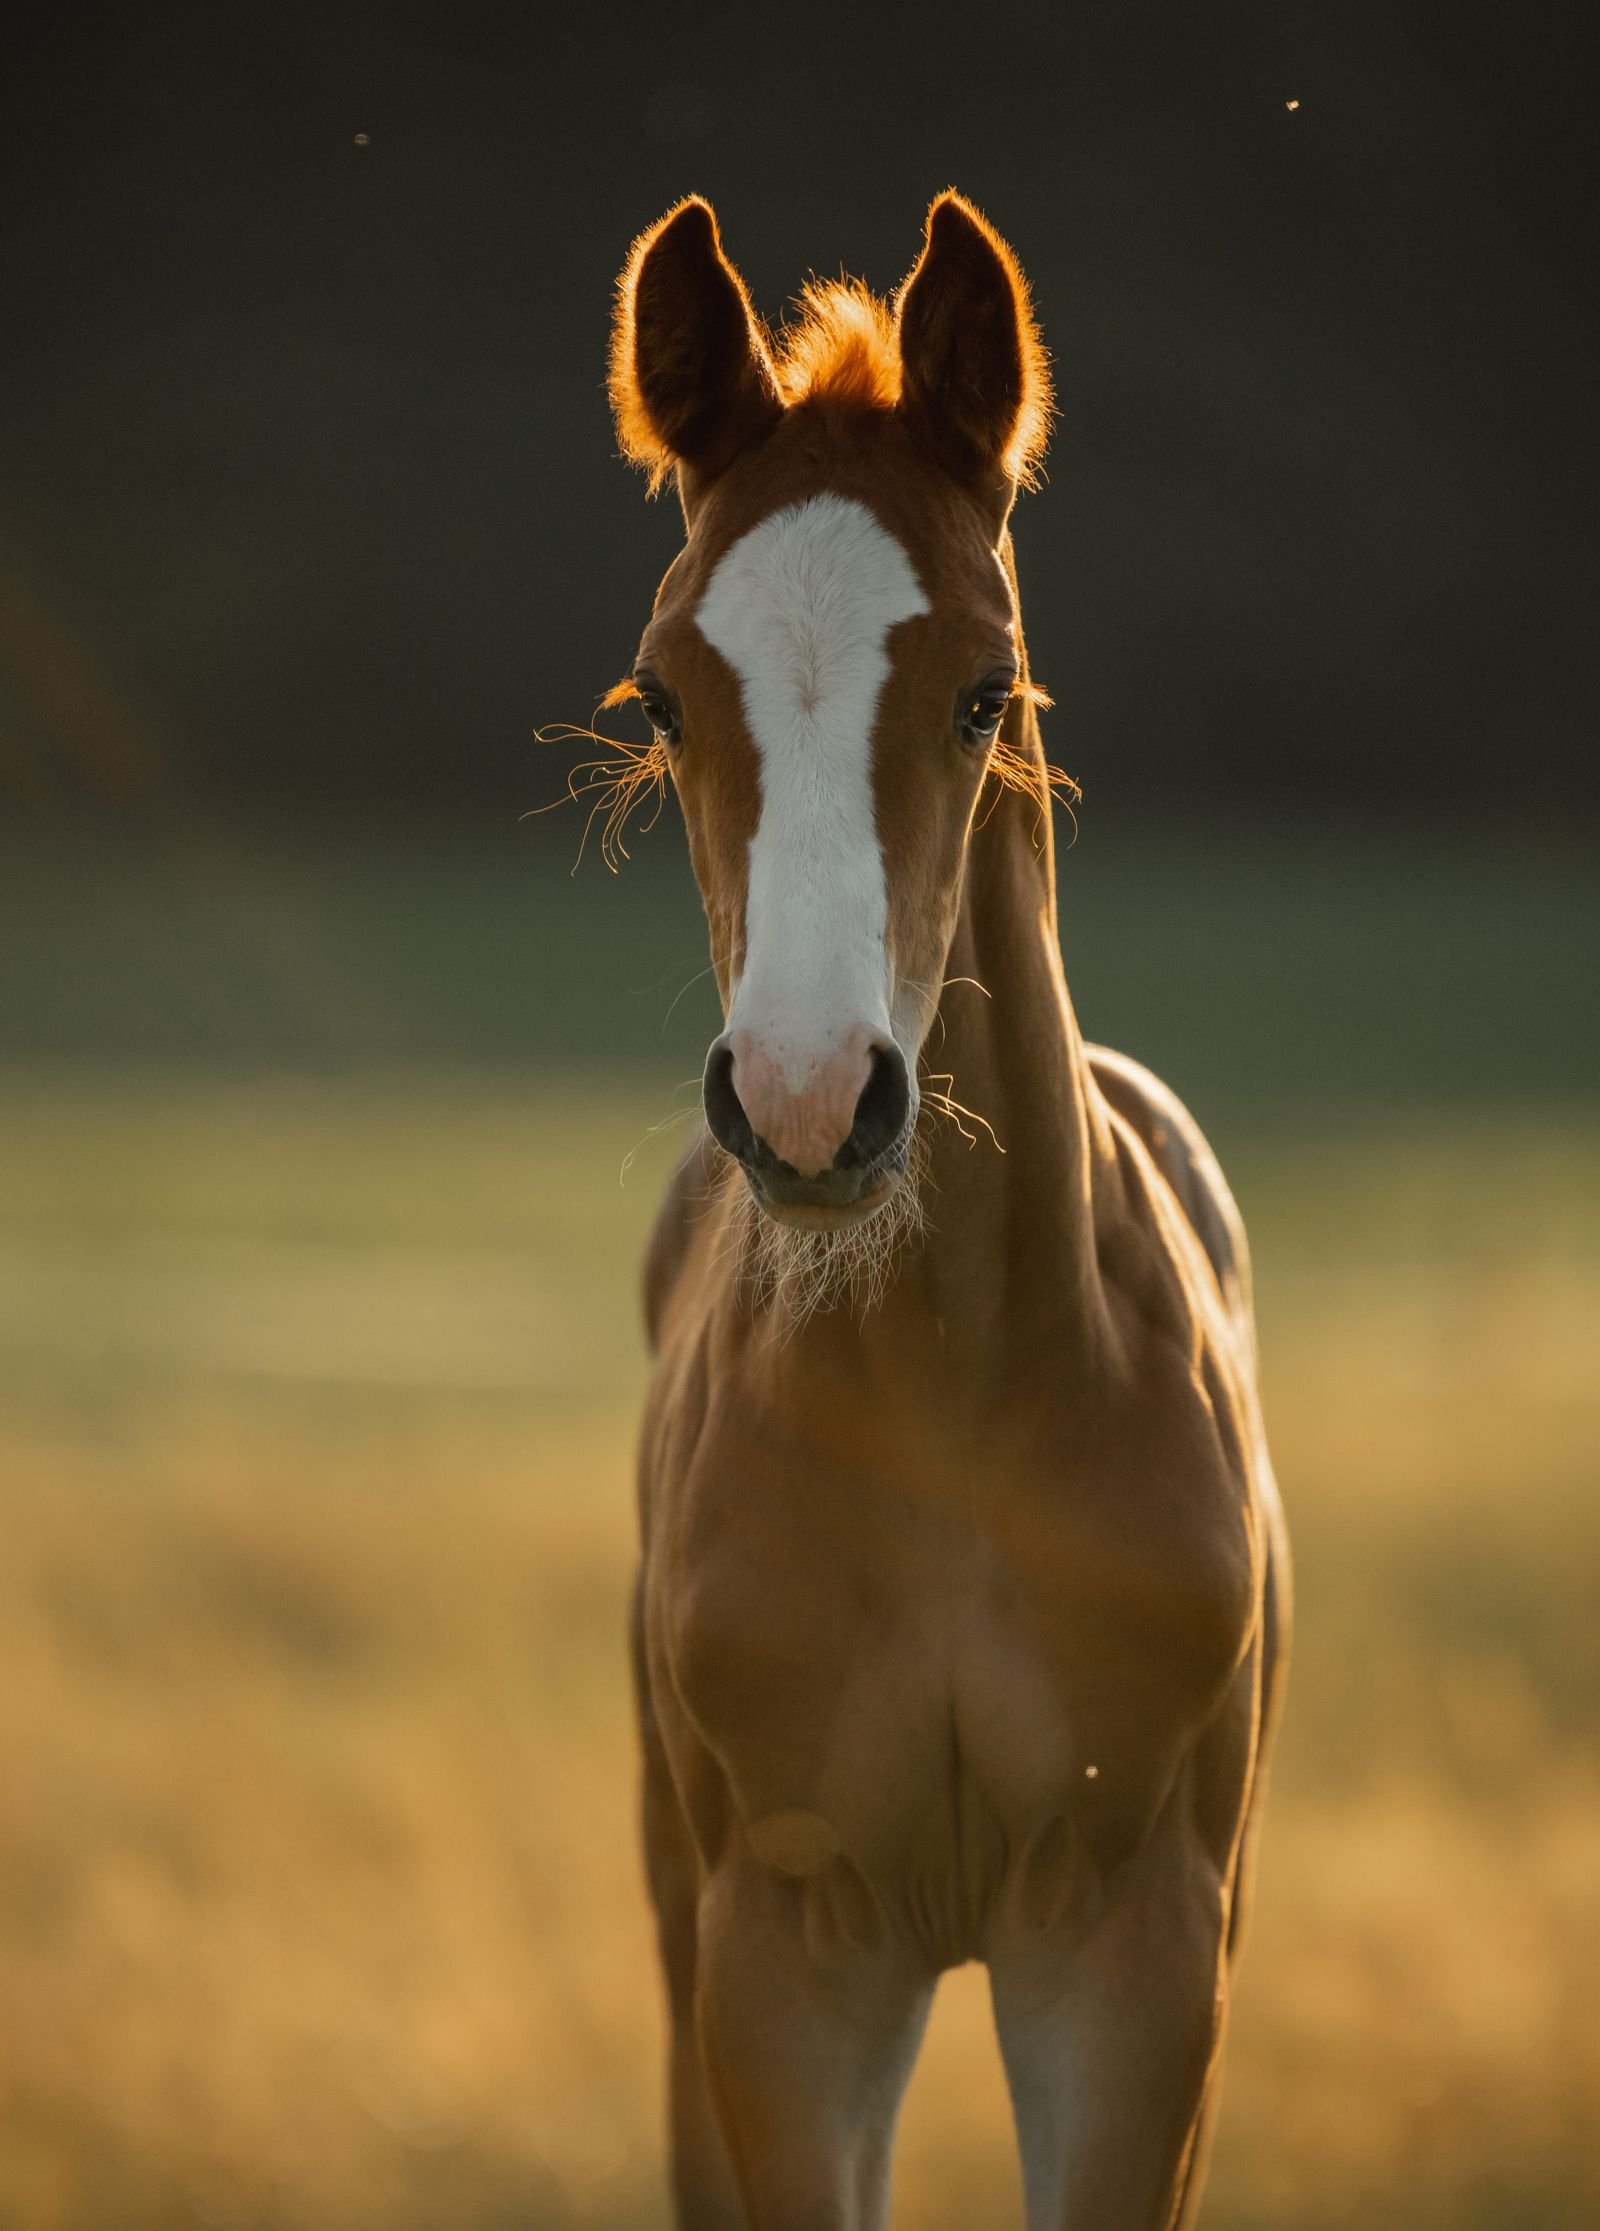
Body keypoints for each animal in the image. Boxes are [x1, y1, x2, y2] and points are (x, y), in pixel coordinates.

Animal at [604, 190, 1290, 2231]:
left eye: (987, 689)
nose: (810, 1101)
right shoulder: (785, 1953)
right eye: (663, 694)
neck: (955, 1407)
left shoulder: (1138, 1949)